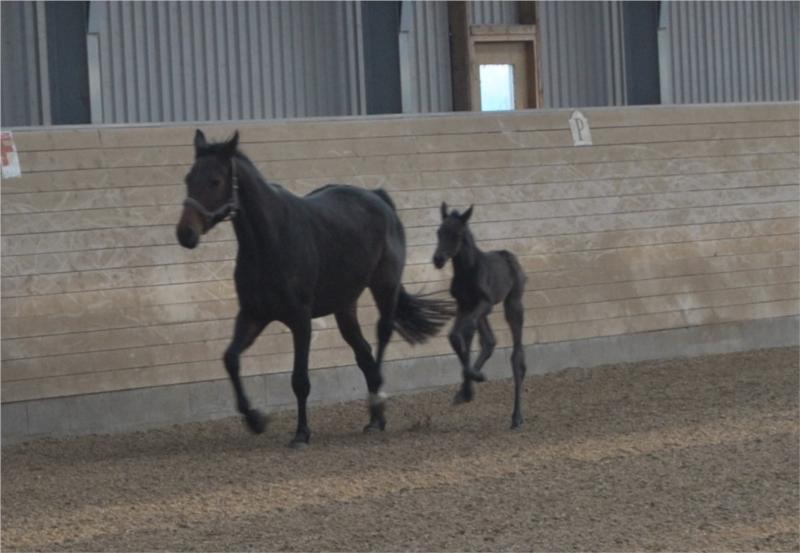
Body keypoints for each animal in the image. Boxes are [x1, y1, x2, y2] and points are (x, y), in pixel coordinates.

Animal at [177, 132, 450, 446]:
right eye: (188, 178)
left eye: (215, 181)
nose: (185, 234)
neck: (269, 241)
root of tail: (378, 197)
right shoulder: (252, 314)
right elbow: (231, 359)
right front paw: (256, 420)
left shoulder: (300, 319)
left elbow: (300, 380)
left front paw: (301, 433)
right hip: (345, 306)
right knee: (363, 353)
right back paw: (374, 419)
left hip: (385, 286)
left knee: (383, 335)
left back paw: (378, 402)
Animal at [434, 203, 528, 426]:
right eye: (439, 232)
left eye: (458, 234)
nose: (438, 259)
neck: (467, 271)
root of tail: (508, 255)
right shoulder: (463, 305)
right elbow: (456, 336)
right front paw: (467, 390)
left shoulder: (484, 303)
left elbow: (465, 332)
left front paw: (475, 379)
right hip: (482, 311)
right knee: (489, 340)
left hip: (512, 303)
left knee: (516, 356)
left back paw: (517, 417)